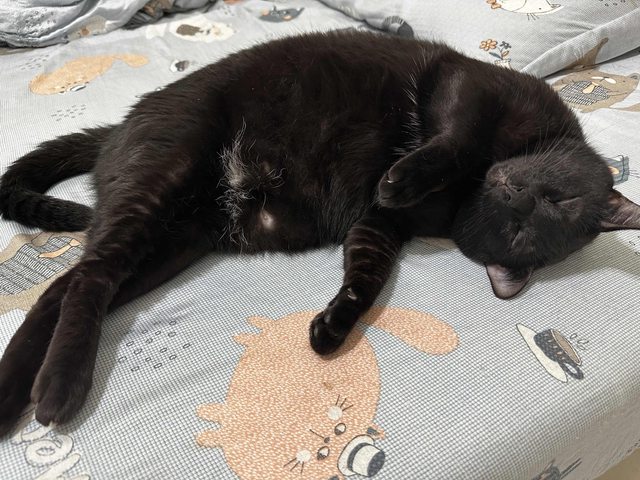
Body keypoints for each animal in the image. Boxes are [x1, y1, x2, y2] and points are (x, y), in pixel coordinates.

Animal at [1, 30, 639, 436]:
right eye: (558, 197)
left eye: (522, 229)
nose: (514, 193)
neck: (466, 191)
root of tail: (117, 130)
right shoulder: (469, 86)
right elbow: (455, 137)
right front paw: (402, 176)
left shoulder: (379, 226)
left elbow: (367, 276)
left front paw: (331, 329)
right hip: (166, 171)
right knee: (89, 274)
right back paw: (59, 387)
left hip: (173, 242)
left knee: (71, 285)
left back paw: (18, 387)